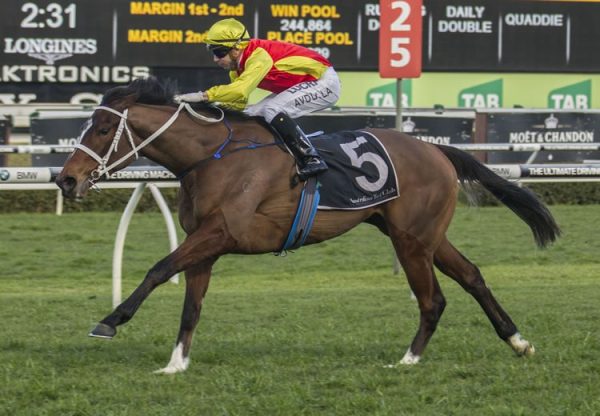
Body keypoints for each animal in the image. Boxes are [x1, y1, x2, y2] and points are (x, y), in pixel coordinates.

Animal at [54, 77, 560, 374]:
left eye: (103, 129)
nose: (66, 179)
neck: (212, 157)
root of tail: (436, 149)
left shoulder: (221, 233)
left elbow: (158, 269)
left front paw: (110, 321)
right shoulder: (205, 243)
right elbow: (190, 306)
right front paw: (176, 364)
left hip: (411, 239)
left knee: (433, 299)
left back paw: (409, 359)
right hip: (423, 234)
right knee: (472, 275)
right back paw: (518, 342)